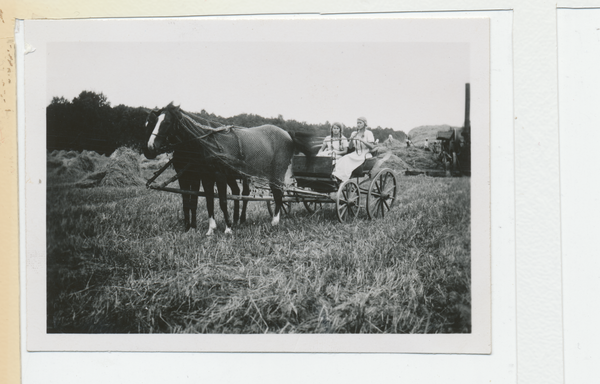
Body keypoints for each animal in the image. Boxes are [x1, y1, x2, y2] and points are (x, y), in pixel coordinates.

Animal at [143, 103, 312, 234]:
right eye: (154, 122)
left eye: (167, 122)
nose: (149, 148)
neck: (207, 141)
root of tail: (287, 133)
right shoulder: (206, 176)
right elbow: (209, 200)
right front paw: (211, 229)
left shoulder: (220, 175)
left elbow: (223, 201)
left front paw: (228, 228)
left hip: (276, 172)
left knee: (277, 194)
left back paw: (275, 221)